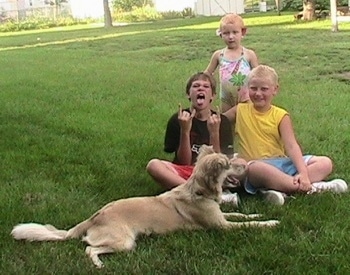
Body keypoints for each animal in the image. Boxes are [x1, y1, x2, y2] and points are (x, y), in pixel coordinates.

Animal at [11, 146, 278, 268]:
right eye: (229, 165)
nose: (246, 165)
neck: (199, 191)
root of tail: (94, 217)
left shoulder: (221, 217)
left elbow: (241, 214)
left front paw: (258, 211)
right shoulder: (221, 227)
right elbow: (251, 224)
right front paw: (271, 221)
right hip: (125, 242)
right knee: (88, 249)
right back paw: (98, 265)